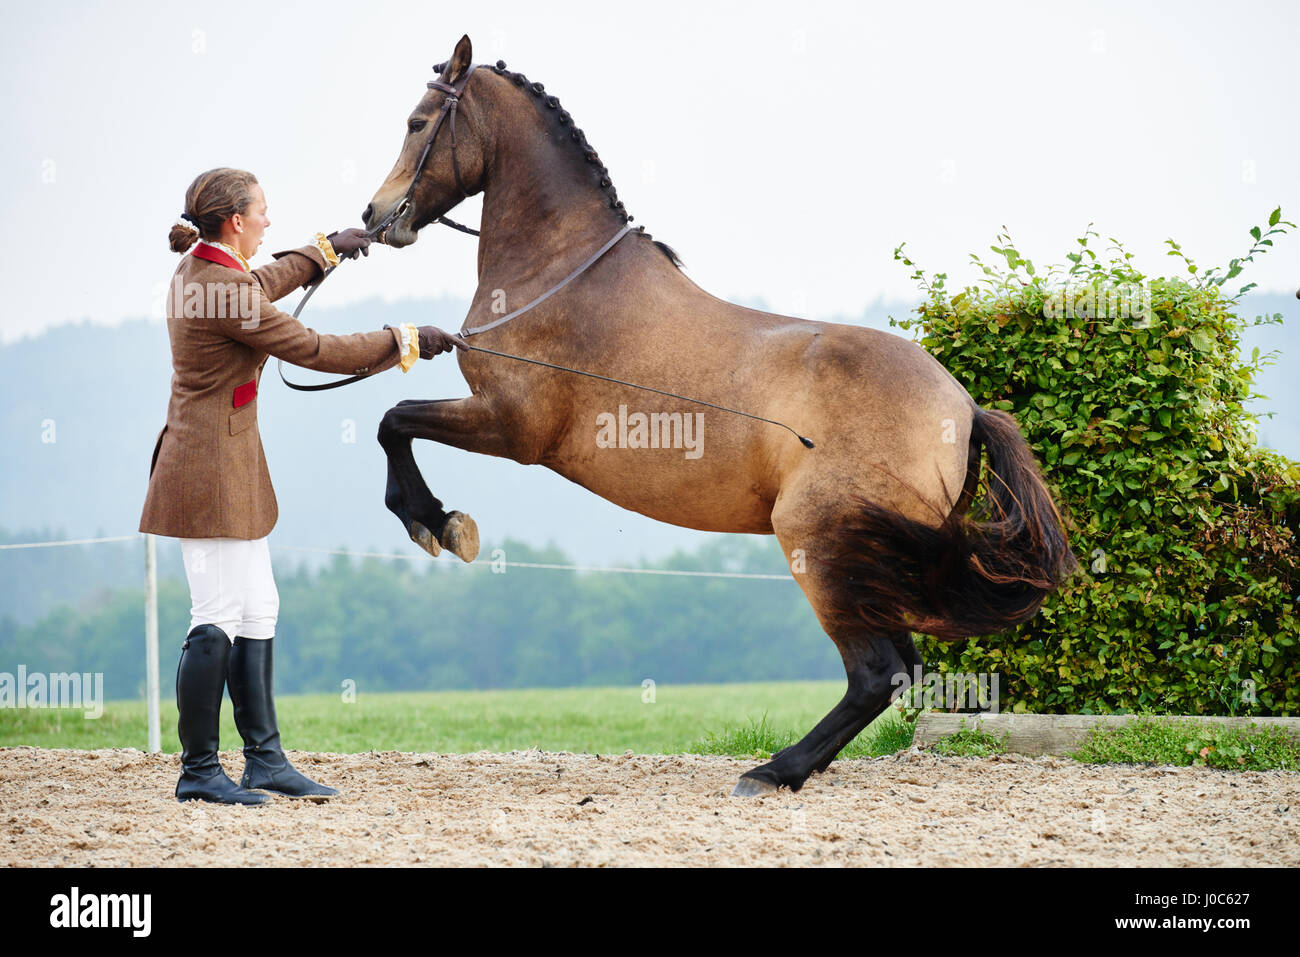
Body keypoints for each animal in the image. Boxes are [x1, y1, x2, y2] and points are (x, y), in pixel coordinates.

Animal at [361, 35, 1079, 796]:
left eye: (416, 122)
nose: (376, 215)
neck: (558, 275)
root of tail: (962, 406)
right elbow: (395, 419)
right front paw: (436, 521)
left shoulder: (511, 426)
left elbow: (394, 419)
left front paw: (435, 522)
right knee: (897, 669)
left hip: (818, 544)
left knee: (876, 673)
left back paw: (773, 770)